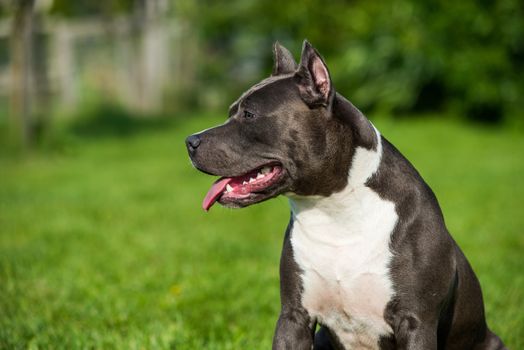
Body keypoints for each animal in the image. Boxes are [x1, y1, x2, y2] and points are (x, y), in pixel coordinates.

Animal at [185, 41, 508, 350]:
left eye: (249, 114)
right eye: (231, 112)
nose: (189, 141)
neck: (334, 210)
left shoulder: (417, 322)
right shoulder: (294, 317)